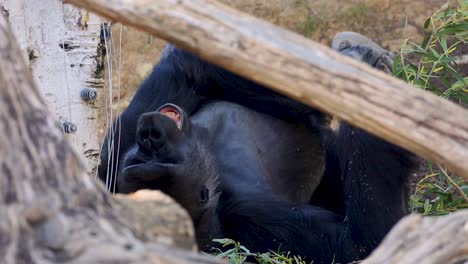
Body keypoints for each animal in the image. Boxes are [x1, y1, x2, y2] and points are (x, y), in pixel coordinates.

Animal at [97, 33, 414, 264]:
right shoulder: (250, 219)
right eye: (161, 160)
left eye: (142, 158)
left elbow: (188, 71)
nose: (152, 136)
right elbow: (363, 244)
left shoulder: (111, 165)